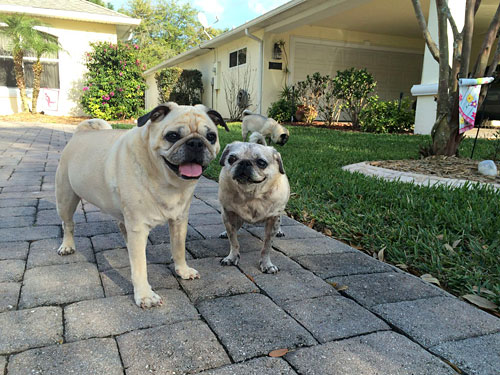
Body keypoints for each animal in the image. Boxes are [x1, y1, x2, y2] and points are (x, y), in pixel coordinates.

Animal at [55, 103, 228, 308]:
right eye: (172, 136)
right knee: (68, 224)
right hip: (65, 198)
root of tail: (80, 133)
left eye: (211, 136)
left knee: (122, 226)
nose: (196, 143)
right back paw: (67, 246)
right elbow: (140, 267)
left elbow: (178, 249)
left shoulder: (179, 220)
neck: (166, 180)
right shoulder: (138, 227)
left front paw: (182, 270)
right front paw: (144, 295)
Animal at [218, 141, 290, 274]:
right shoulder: (228, 214)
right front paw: (232, 257)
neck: (250, 194)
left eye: (261, 163)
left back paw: (280, 231)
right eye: (231, 159)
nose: (244, 162)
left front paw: (266, 264)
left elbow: (267, 246)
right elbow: (233, 240)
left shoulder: (273, 219)